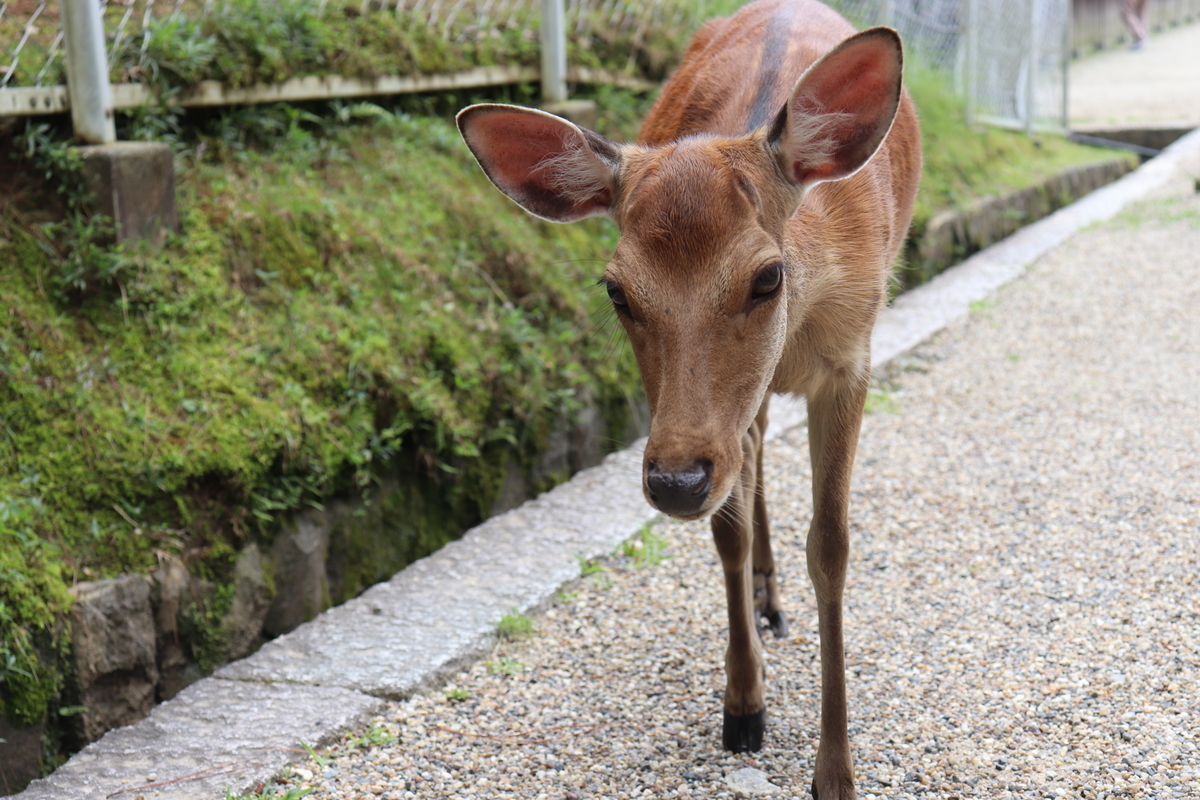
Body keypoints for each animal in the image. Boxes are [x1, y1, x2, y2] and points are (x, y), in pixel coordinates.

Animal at [456, 0, 916, 796]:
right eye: (616, 291)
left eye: (767, 277)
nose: (675, 481)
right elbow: (728, 532)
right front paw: (744, 708)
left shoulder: (852, 359)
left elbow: (831, 546)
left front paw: (835, 773)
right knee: (752, 458)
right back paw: (764, 599)